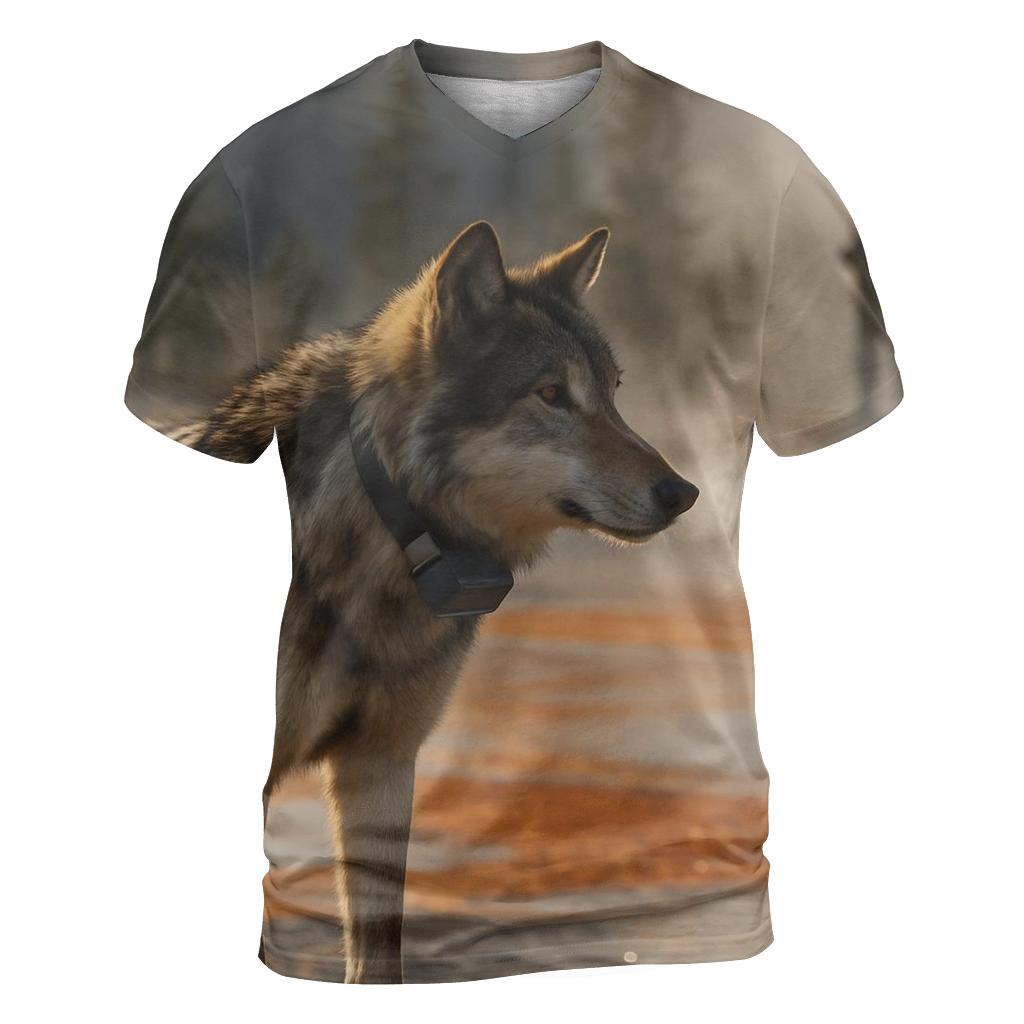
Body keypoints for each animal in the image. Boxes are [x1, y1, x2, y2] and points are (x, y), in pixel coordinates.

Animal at [180, 221, 698, 982]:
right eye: (551, 393)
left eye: (613, 392)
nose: (682, 493)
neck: (388, 540)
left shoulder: (381, 762)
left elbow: (378, 957)